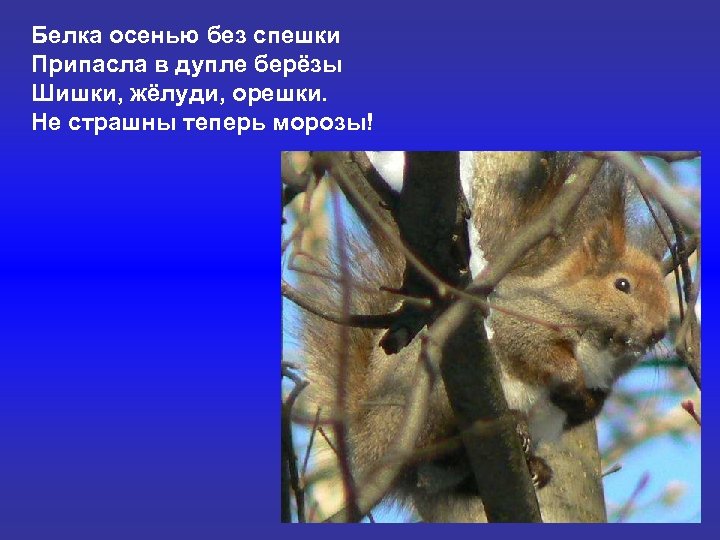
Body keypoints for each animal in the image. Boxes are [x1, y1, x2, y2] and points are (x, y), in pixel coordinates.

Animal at [295, 152, 670, 522]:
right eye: (622, 284)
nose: (659, 330)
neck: (598, 352)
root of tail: (370, 445)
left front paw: (585, 403)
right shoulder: (521, 320)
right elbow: (534, 352)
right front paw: (570, 381)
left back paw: (537, 467)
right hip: (430, 400)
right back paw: (512, 427)